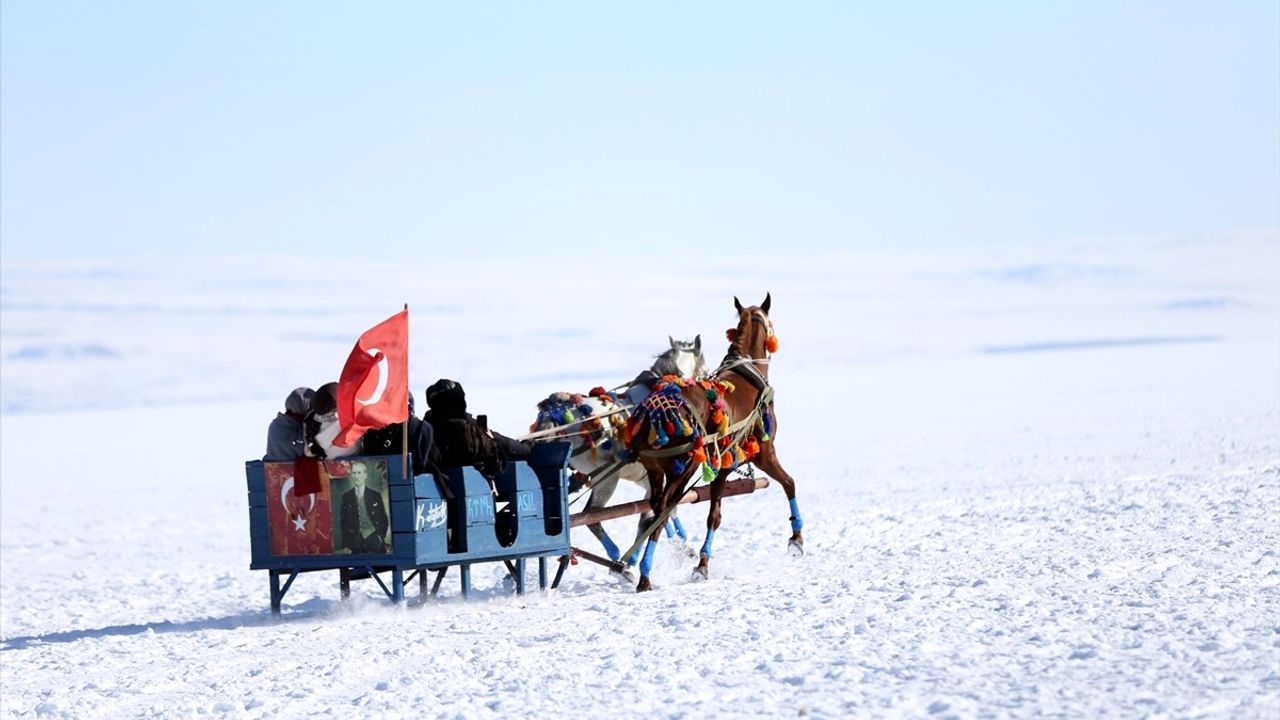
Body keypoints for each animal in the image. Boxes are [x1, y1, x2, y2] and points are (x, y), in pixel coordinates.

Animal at [529, 333, 711, 573]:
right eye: (705, 370)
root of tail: (555, 414)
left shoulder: (646, 480)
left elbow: (662, 514)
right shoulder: (657, 478)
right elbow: (653, 516)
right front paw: (639, 557)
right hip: (607, 479)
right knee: (592, 517)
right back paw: (616, 558)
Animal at [624, 289, 803, 589]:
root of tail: (655, 413)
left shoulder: (723, 466)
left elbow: (714, 516)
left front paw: (702, 565)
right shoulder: (764, 454)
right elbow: (789, 483)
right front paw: (797, 538)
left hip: (656, 470)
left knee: (654, 508)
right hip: (684, 468)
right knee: (662, 511)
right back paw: (645, 573)